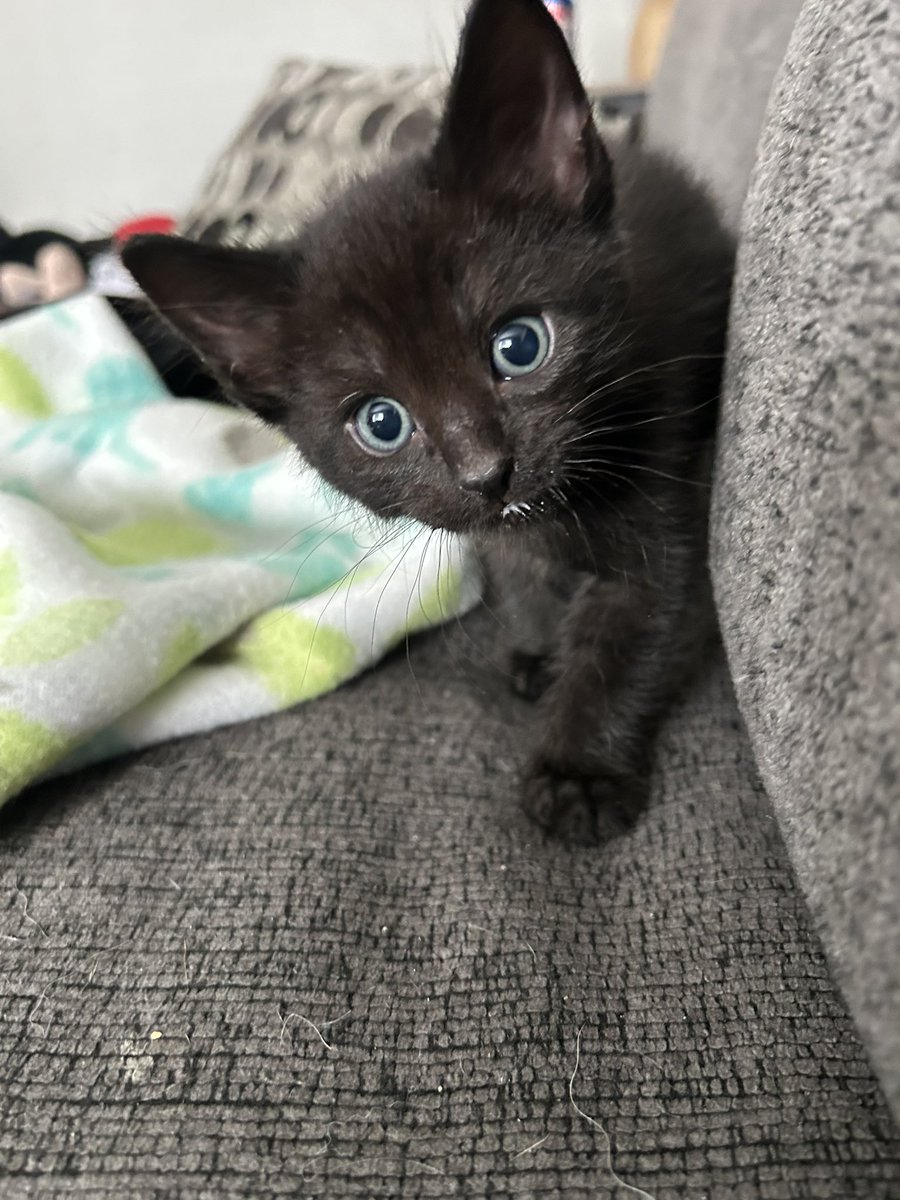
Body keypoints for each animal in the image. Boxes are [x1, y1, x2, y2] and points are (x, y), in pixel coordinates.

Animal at [123, 0, 734, 844]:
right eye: (382, 422)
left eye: (520, 345)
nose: (486, 471)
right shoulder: (500, 530)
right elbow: (520, 575)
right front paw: (540, 647)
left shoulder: (659, 475)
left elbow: (627, 632)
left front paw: (577, 771)